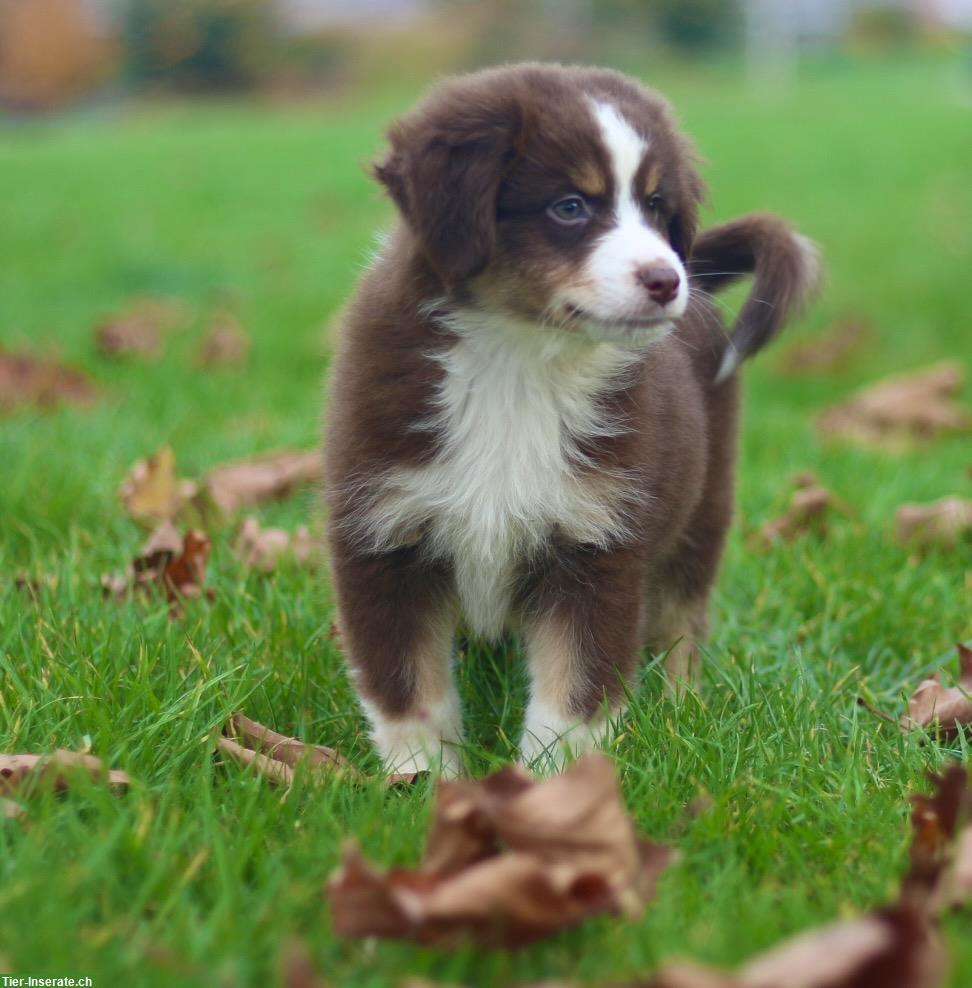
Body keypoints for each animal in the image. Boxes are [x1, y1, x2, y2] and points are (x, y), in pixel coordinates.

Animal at [322, 61, 816, 776]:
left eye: (657, 206)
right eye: (570, 206)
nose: (667, 280)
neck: (518, 359)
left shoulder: (597, 542)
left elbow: (572, 696)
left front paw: (549, 787)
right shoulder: (383, 535)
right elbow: (409, 691)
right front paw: (422, 781)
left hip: (702, 505)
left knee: (681, 618)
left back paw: (682, 711)